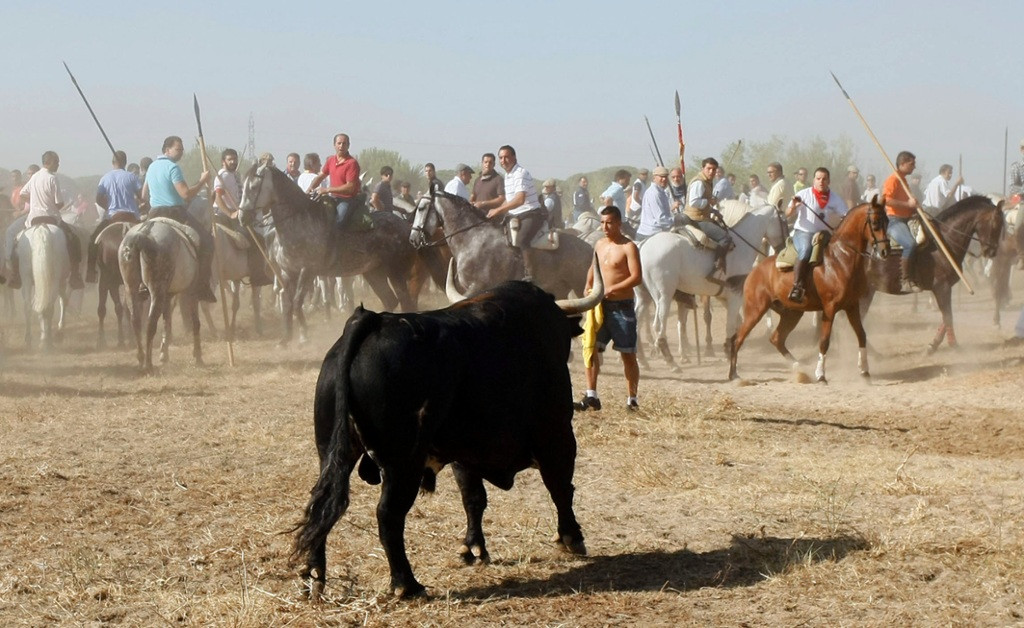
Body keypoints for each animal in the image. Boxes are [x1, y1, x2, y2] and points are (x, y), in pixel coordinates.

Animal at [237, 161, 430, 346]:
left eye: (253, 187)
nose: (242, 218)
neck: (299, 222)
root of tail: (407, 228)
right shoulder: (287, 272)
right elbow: (287, 303)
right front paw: (286, 339)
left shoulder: (307, 271)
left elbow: (297, 302)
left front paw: (304, 337)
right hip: (373, 273)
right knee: (390, 300)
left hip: (395, 272)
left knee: (406, 301)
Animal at [292, 268, 602, 598]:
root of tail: (373, 321)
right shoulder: (557, 435)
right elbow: (560, 488)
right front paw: (571, 537)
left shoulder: (464, 456)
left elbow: (474, 498)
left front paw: (474, 547)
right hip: (403, 464)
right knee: (388, 515)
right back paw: (407, 584)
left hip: (332, 453)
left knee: (322, 505)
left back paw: (314, 573)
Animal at [634, 200, 786, 366]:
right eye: (784, 222)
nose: (782, 250)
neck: (741, 247)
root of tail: (642, 245)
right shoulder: (735, 295)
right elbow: (730, 325)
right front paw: (728, 353)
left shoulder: (724, 296)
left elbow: (736, 322)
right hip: (663, 296)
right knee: (658, 325)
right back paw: (670, 361)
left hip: (644, 296)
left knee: (637, 321)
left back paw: (642, 359)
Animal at [729, 198, 888, 381]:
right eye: (875, 222)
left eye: (887, 221)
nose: (885, 251)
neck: (841, 259)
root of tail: (753, 271)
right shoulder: (829, 308)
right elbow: (824, 341)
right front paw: (821, 375)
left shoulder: (852, 306)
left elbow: (861, 335)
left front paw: (865, 371)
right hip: (755, 310)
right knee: (737, 338)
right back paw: (733, 374)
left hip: (792, 313)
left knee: (776, 339)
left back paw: (799, 368)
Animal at [860, 195, 1003, 352]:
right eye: (995, 224)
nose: (991, 252)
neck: (943, 242)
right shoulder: (942, 287)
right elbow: (948, 316)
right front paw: (950, 344)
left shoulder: (944, 288)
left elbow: (946, 317)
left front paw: (934, 344)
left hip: (867, 292)